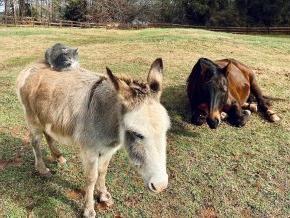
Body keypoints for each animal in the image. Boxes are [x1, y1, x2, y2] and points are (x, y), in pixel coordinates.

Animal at [16, 58, 170, 217]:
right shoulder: (89, 151)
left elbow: (102, 172)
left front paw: (103, 195)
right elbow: (91, 178)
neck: (107, 116)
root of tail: (31, 66)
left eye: (166, 130)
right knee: (35, 142)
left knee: (48, 134)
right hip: (32, 118)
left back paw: (58, 157)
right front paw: (89, 209)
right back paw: (42, 169)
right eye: (137, 134)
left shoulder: (109, 149)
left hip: (47, 117)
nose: (160, 185)